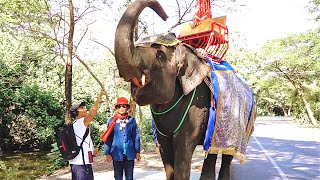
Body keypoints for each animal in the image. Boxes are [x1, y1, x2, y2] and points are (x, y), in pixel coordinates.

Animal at [114, 0, 256, 179]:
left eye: (160, 55)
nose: (165, 16)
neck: (188, 50)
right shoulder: (161, 133)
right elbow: (166, 154)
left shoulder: (196, 109)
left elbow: (183, 150)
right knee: (211, 152)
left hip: (240, 126)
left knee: (228, 154)